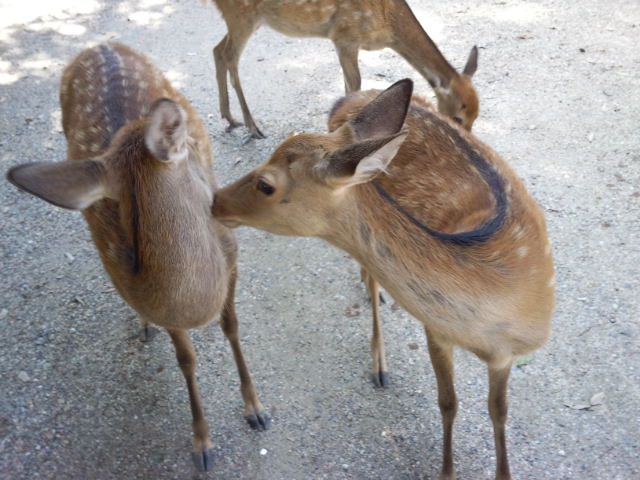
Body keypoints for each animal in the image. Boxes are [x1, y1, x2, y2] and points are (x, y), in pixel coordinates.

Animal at [6, 42, 270, 472]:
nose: (224, 203)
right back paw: (143, 325)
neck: (193, 305)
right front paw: (202, 444)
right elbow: (185, 359)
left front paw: (256, 409)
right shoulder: (166, 307)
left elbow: (232, 326)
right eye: (190, 153)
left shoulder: (231, 259)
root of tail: (101, 44)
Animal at [206, 0, 479, 142]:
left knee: (217, 50)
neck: (388, 21)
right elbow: (353, 85)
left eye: (476, 117)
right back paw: (252, 125)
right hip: (242, 14)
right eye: (457, 118)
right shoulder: (345, 36)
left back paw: (229, 117)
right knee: (230, 56)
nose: (467, 139)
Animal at [211, 79, 555, 479]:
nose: (215, 200)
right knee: (373, 281)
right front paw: (446, 472)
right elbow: (448, 402)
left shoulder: (505, 355)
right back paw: (379, 363)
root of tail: (350, 98)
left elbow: (498, 412)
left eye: (266, 185)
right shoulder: (435, 329)